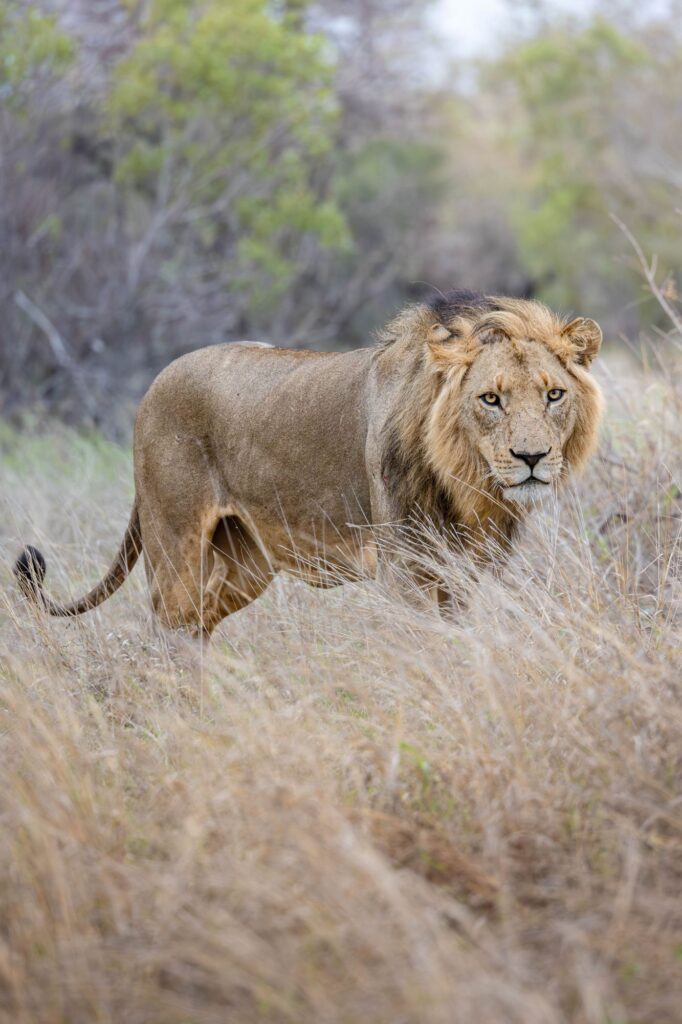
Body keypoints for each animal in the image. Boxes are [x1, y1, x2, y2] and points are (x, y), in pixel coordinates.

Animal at [14, 290, 603, 634]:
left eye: (553, 395)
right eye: (491, 399)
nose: (532, 457)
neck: (467, 484)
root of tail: (154, 382)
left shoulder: (463, 572)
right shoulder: (405, 568)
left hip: (246, 560)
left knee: (199, 623)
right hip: (174, 539)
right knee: (169, 625)